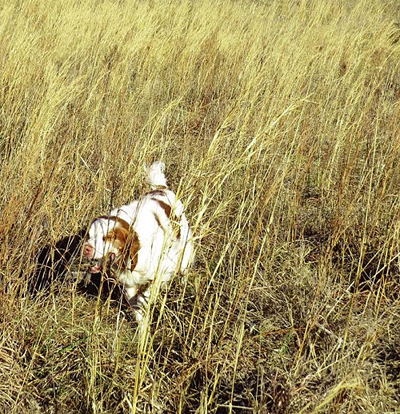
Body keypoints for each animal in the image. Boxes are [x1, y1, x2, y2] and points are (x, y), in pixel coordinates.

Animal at [82, 163, 194, 322]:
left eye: (107, 237)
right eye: (90, 235)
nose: (86, 248)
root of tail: (162, 188)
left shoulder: (164, 267)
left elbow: (146, 294)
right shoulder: (129, 283)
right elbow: (136, 306)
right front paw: (142, 325)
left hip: (183, 258)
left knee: (183, 273)